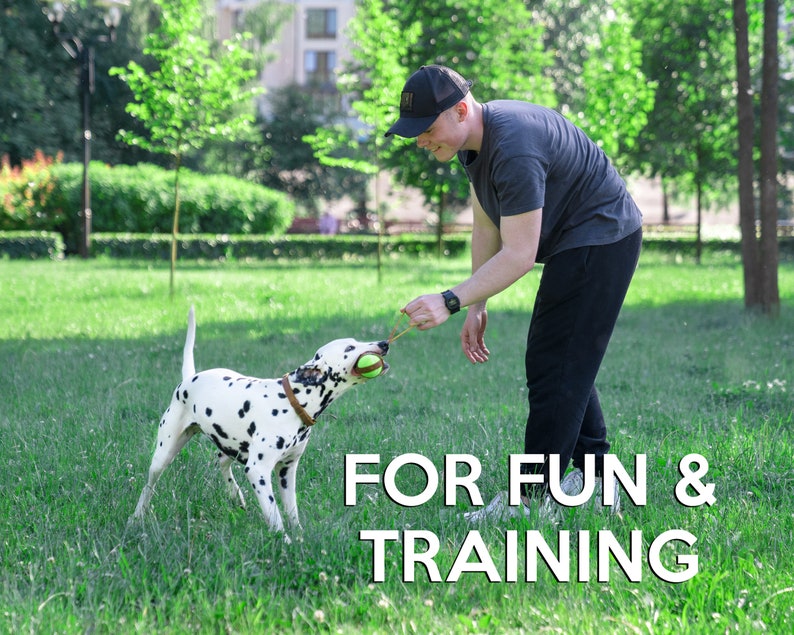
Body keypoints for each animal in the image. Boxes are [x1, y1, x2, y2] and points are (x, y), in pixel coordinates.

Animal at [132, 308, 386, 532]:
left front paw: (299, 537)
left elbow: (292, 511)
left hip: (231, 444)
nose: (384, 343)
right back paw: (137, 516)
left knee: (221, 460)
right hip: (164, 454)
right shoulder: (258, 471)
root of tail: (190, 378)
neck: (293, 400)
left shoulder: (287, 471)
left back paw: (235, 495)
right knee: (148, 485)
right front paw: (284, 541)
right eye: (350, 347)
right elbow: (274, 515)